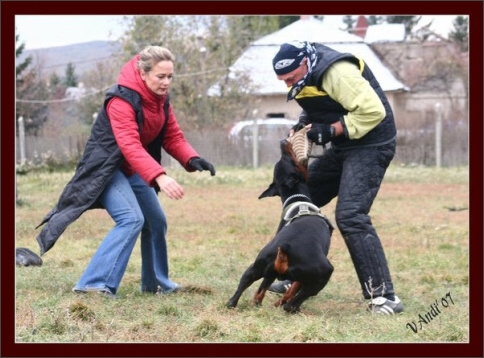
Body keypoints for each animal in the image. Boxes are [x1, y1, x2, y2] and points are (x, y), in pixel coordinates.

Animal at [226, 138, 332, 312]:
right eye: (290, 161)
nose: (283, 141)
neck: (297, 200)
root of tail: (285, 248)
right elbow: (293, 289)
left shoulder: (270, 273)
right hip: (324, 273)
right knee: (295, 301)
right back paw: (291, 308)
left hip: (258, 267)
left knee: (248, 292)